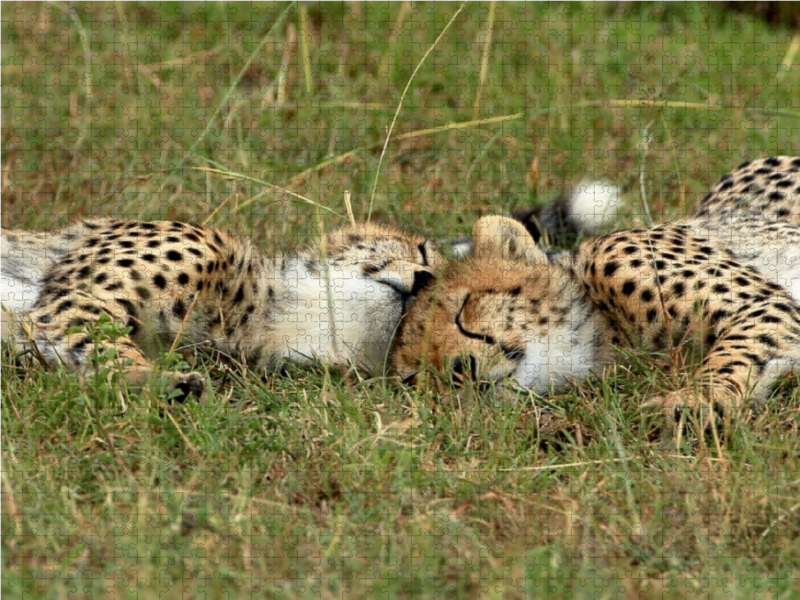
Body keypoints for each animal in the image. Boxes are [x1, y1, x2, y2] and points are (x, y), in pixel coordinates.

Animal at [392, 157, 800, 424]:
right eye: (417, 377)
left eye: (464, 308)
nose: (459, 370)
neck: (605, 330)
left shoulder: (765, 303)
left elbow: (733, 353)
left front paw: (698, 399)